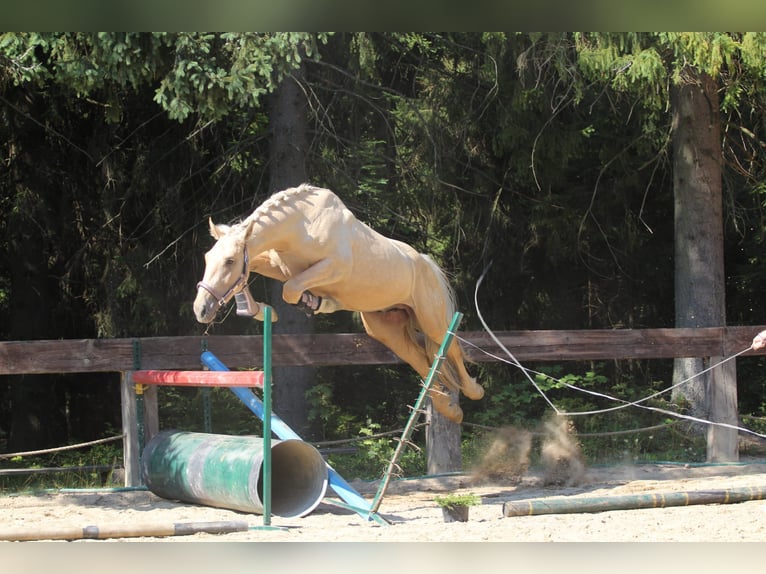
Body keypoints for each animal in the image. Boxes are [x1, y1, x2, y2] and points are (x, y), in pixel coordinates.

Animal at [195, 184, 486, 424]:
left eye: (230, 261)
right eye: (207, 257)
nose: (201, 309)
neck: (301, 226)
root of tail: (426, 261)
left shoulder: (332, 267)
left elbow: (291, 290)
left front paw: (307, 304)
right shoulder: (280, 267)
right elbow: (260, 266)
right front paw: (262, 311)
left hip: (431, 319)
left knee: (451, 349)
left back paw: (473, 391)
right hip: (385, 329)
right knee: (423, 361)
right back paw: (450, 409)